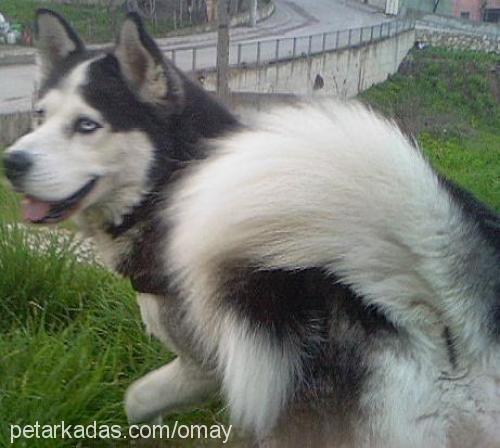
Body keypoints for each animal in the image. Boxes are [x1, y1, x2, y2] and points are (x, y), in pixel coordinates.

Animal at [4, 8, 500, 446]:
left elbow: (137, 397)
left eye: (87, 125)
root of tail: (446, 314)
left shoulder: (211, 366)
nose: (12, 162)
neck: (176, 180)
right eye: (40, 115)